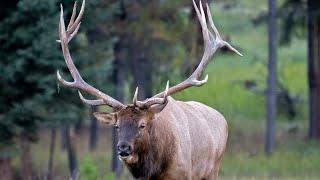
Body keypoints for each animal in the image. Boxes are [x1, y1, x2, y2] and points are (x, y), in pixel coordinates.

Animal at [57, 0, 242, 179]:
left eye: (142, 125)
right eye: (116, 126)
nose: (123, 149)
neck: (154, 170)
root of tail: (223, 119)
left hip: (213, 170)